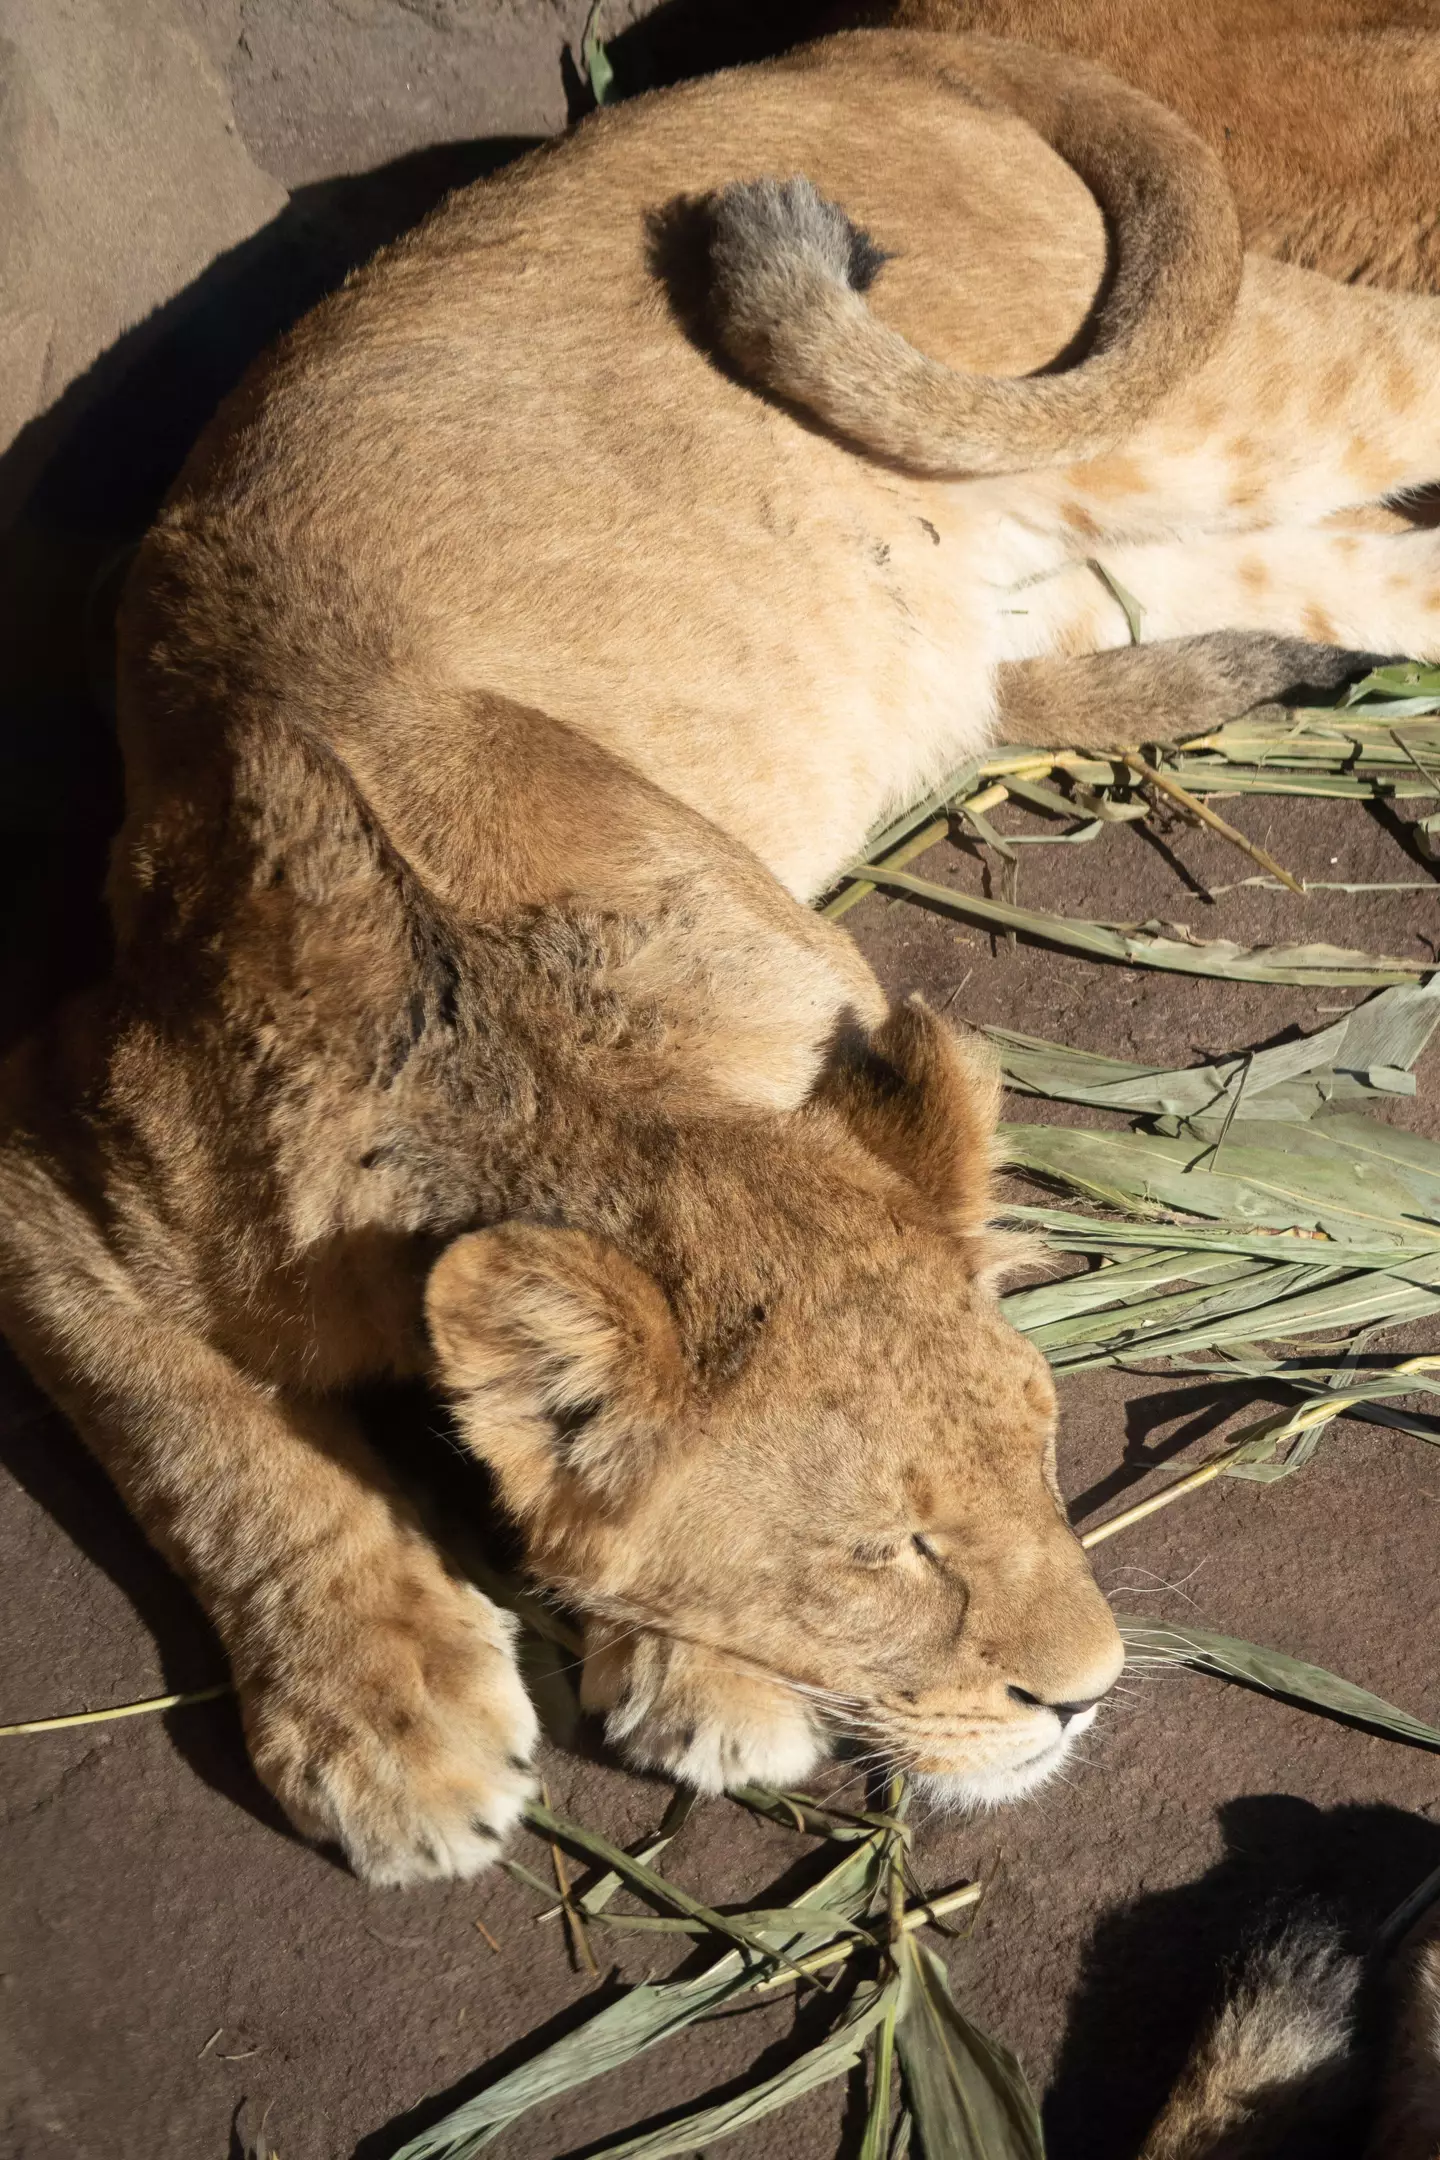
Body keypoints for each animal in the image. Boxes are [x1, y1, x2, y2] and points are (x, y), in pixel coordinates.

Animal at [5, 25, 1440, 1892]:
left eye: (1043, 1442)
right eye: (886, 1551)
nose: (1087, 1694)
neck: (536, 1056)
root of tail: (867, 46)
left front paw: (701, 1681)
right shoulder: (57, 1148)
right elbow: (209, 1441)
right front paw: (394, 1727)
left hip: (1214, 405)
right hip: (1130, 569)